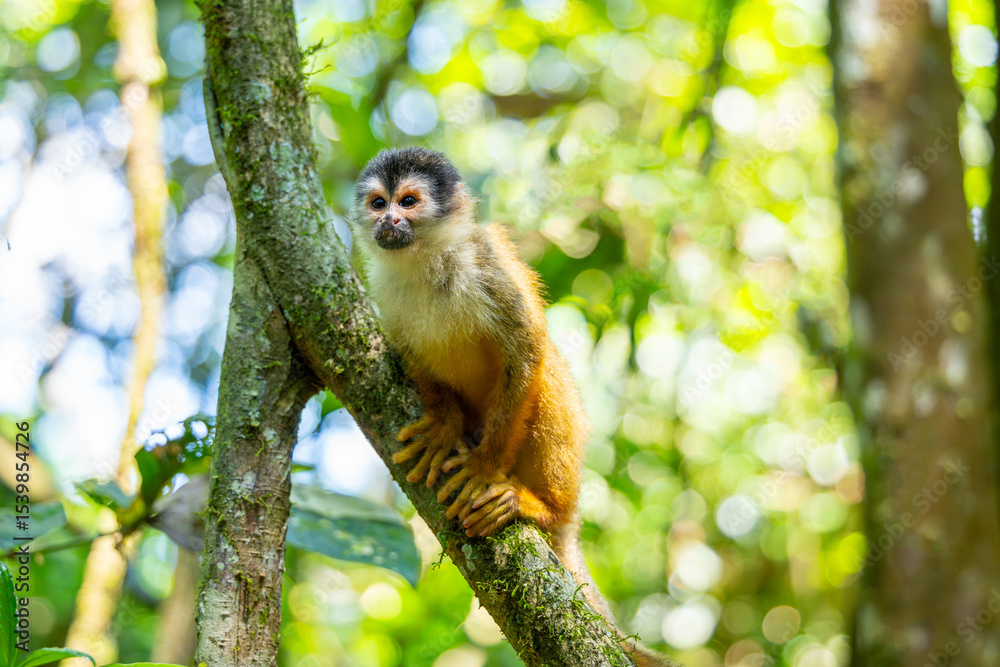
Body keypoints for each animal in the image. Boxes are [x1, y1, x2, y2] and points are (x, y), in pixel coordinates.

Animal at [349, 147, 677, 667]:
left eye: (408, 201)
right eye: (379, 203)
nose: (389, 222)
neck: (425, 261)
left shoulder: (485, 261)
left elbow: (526, 349)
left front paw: (483, 470)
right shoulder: (382, 288)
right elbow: (408, 354)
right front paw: (444, 426)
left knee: (547, 375)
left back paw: (543, 509)